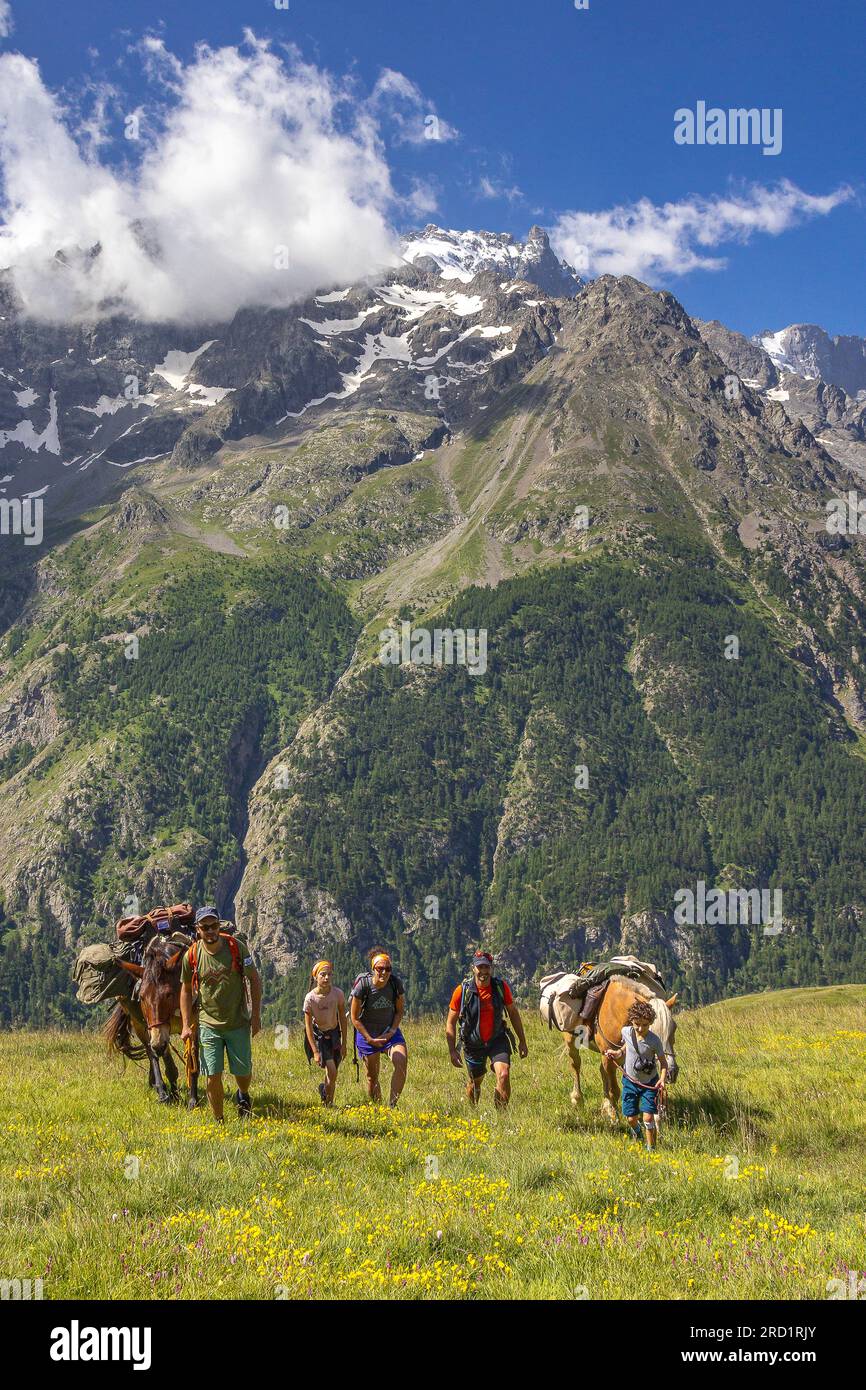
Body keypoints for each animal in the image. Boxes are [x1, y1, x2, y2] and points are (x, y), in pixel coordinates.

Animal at [104, 934, 200, 1106]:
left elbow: (193, 1059)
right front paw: (168, 1093)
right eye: (141, 996)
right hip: (140, 1025)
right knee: (153, 1054)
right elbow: (161, 1059)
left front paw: (193, 1100)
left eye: (168, 994)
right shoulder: (153, 1029)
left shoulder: (191, 1024)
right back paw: (162, 1090)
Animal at [567, 973, 681, 1123]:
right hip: (571, 1041)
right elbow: (614, 1090)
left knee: (601, 1071)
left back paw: (606, 1107)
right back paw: (578, 1099)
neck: (616, 1012)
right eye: (651, 1030)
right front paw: (615, 1119)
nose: (671, 1072)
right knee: (575, 1065)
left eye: (674, 1028)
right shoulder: (609, 1058)